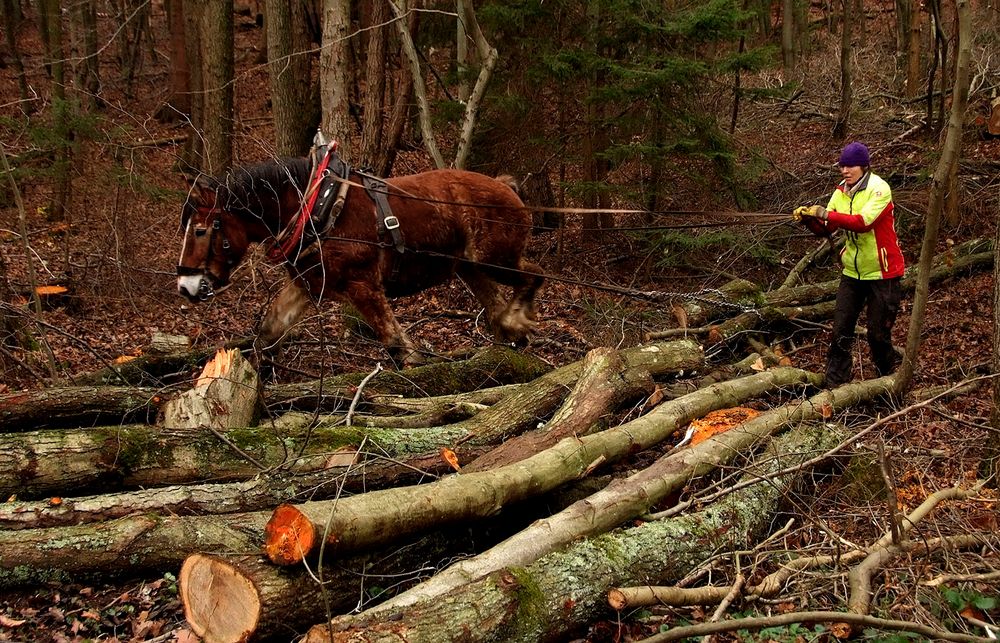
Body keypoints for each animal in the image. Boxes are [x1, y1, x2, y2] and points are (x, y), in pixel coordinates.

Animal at [176, 154, 544, 364]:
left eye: (200, 230)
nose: (185, 285)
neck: (316, 206)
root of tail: (503, 185)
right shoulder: (308, 284)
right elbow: (268, 331)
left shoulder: (363, 285)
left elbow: (395, 344)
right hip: (471, 268)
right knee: (498, 305)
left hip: (494, 260)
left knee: (533, 275)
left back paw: (517, 319)